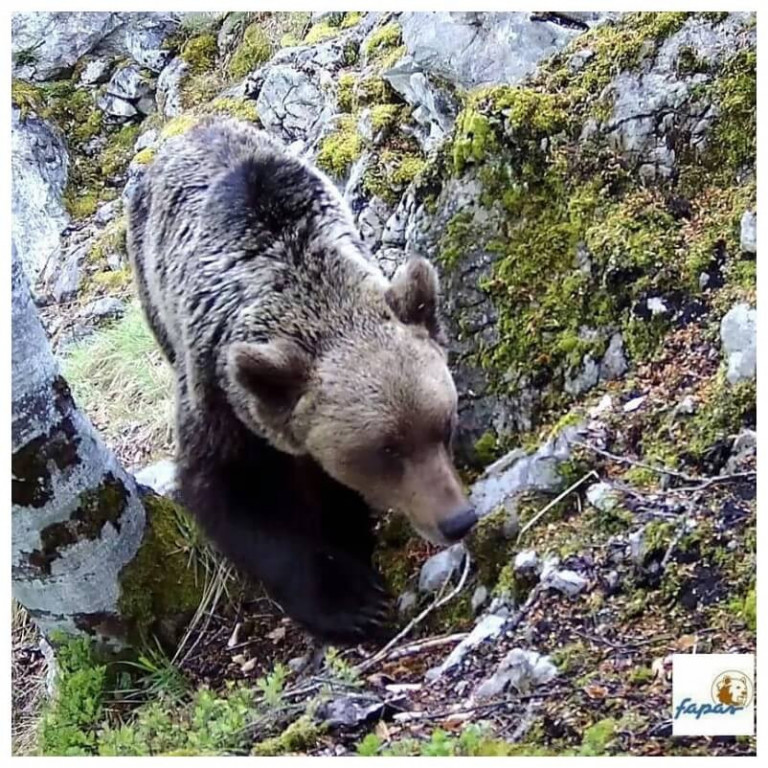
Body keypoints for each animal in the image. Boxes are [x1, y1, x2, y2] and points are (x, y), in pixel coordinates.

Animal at [125, 115, 474, 640]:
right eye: (387, 450)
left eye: (444, 426)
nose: (458, 519)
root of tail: (187, 128)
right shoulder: (216, 389)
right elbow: (231, 493)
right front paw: (352, 600)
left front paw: (350, 537)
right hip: (150, 281)